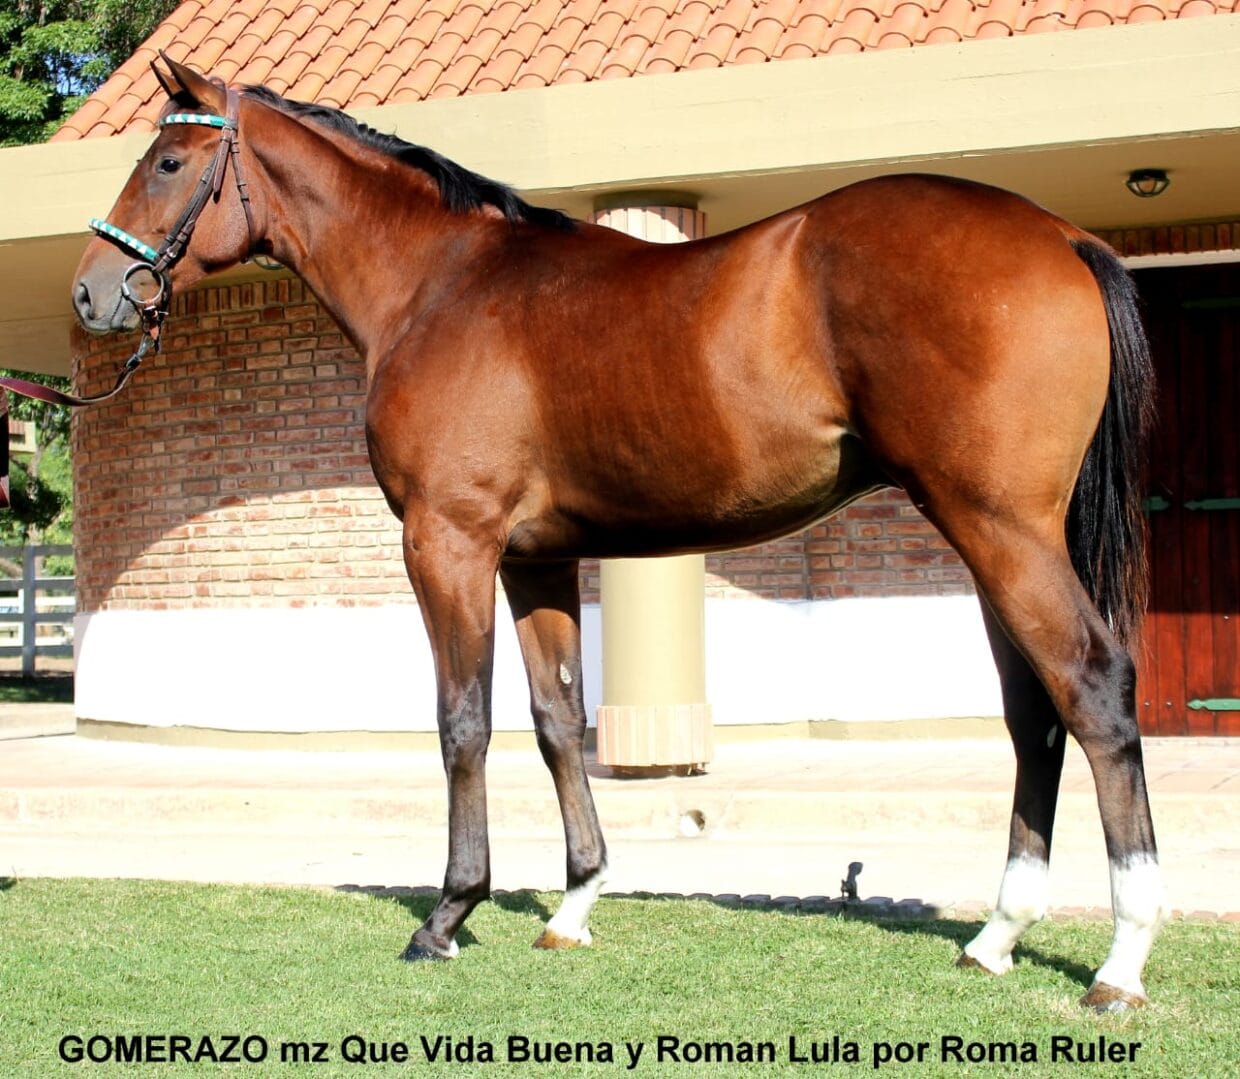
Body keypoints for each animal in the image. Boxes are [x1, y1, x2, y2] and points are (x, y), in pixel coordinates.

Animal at [71, 55, 1165, 1012]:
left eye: (166, 161)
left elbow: (462, 720)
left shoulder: (448, 542)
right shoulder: (536, 557)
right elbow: (559, 718)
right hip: (992, 533)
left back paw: (1120, 959)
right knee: (1033, 712)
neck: (438, 284)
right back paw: (996, 936)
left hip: (998, 526)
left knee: (1092, 685)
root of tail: (1059, 234)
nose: (92, 291)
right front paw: (575, 902)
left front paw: (448, 913)